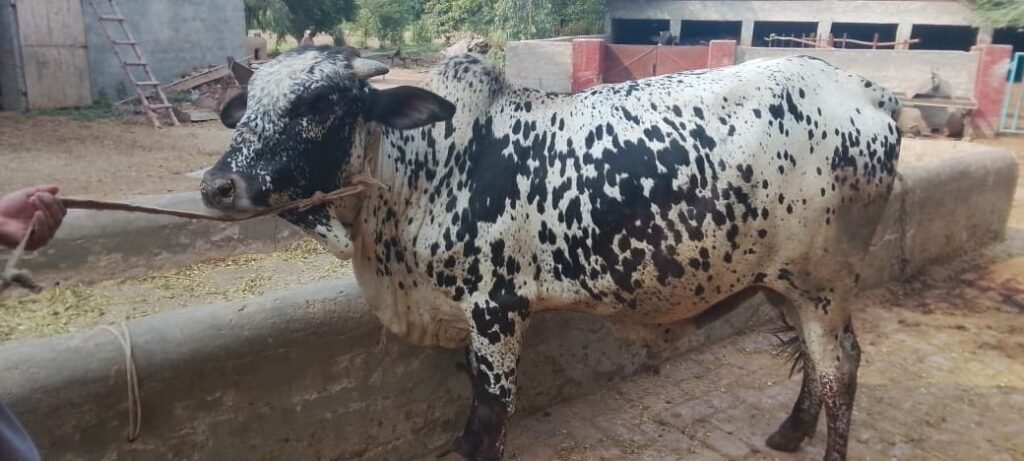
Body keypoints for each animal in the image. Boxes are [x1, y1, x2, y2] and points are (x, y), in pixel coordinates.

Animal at [200, 46, 901, 461]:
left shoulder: (497, 310)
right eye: (248, 107)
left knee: (838, 369)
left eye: (319, 103)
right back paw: (789, 432)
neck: (422, 169)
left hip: (821, 282)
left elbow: (489, 414)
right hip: (783, 283)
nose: (218, 185)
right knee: (823, 359)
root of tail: (872, 91)